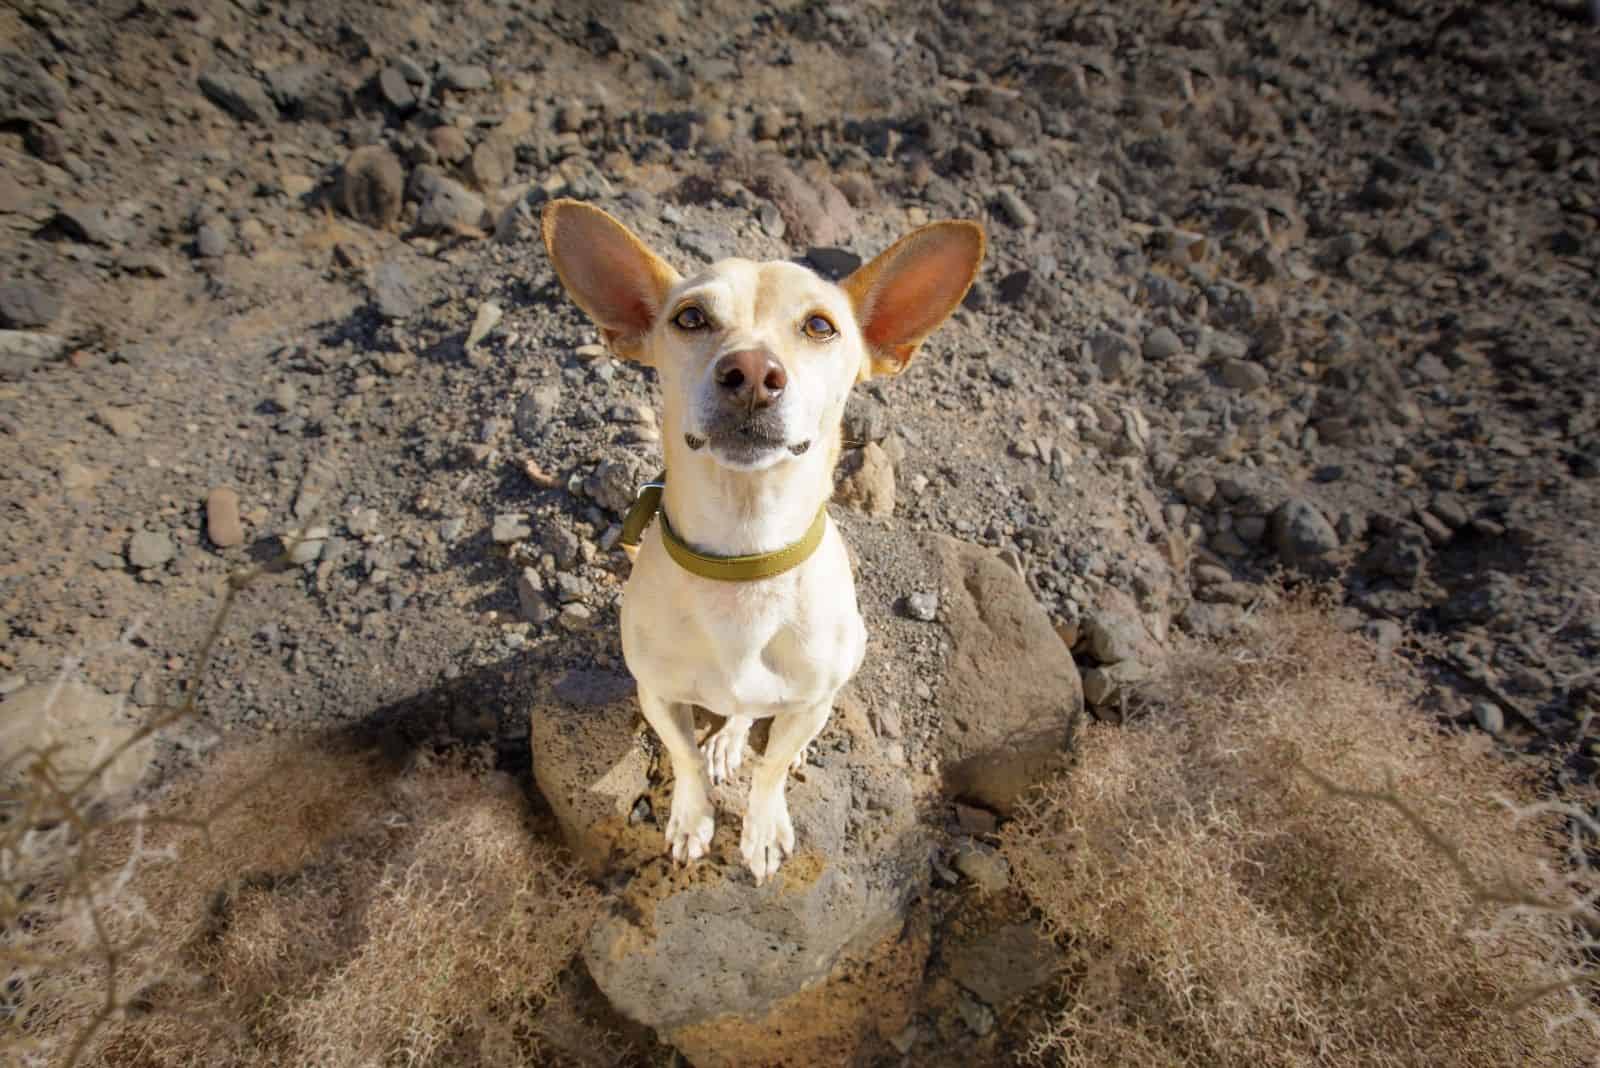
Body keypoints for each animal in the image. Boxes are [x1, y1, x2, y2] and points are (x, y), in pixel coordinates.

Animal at [544, 199, 979, 882]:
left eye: (821, 326)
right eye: (690, 317)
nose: (750, 372)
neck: (745, 559)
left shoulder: (809, 701)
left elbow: (771, 766)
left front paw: (764, 826)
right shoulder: (656, 695)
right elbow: (683, 756)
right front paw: (691, 818)